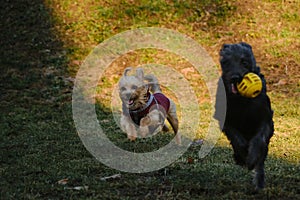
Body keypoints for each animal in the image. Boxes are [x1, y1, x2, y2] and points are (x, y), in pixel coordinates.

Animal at [213, 42, 274, 191]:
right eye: (226, 62)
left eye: (244, 62)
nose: (235, 77)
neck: (241, 100)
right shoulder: (226, 120)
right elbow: (236, 138)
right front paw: (243, 155)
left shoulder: (265, 119)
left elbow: (258, 140)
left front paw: (251, 158)